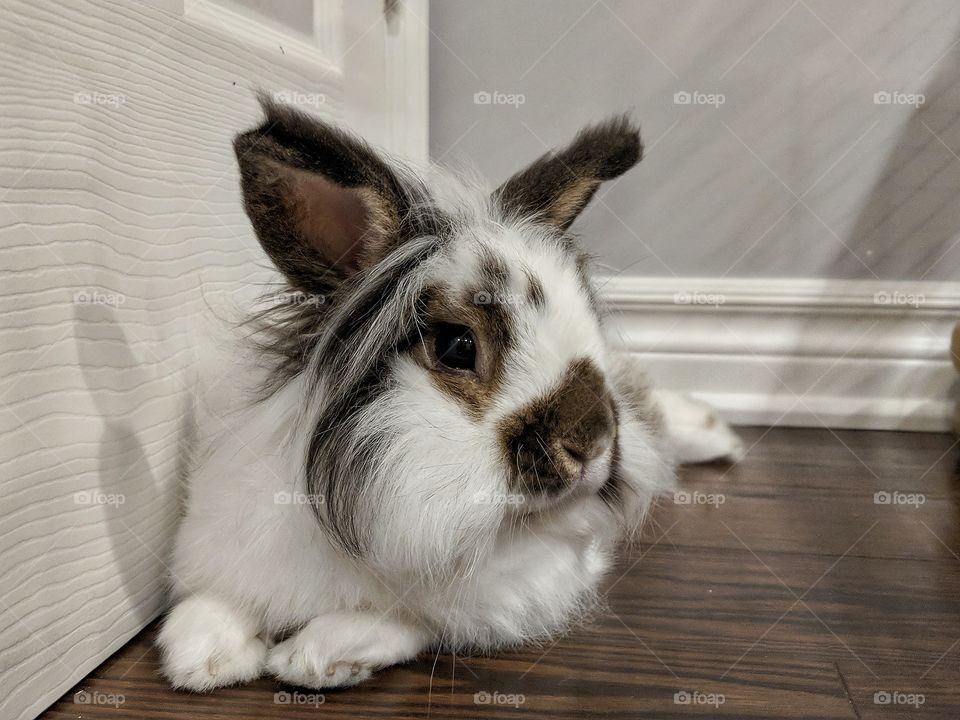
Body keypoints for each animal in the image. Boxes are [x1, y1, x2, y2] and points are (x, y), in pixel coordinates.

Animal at [157, 96, 743, 691]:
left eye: (592, 327)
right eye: (458, 346)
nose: (592, 442)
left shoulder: (502, 600)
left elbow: (398, 623)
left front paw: (314, 657)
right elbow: (206, 605)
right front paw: (202, 660)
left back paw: (716, 433)